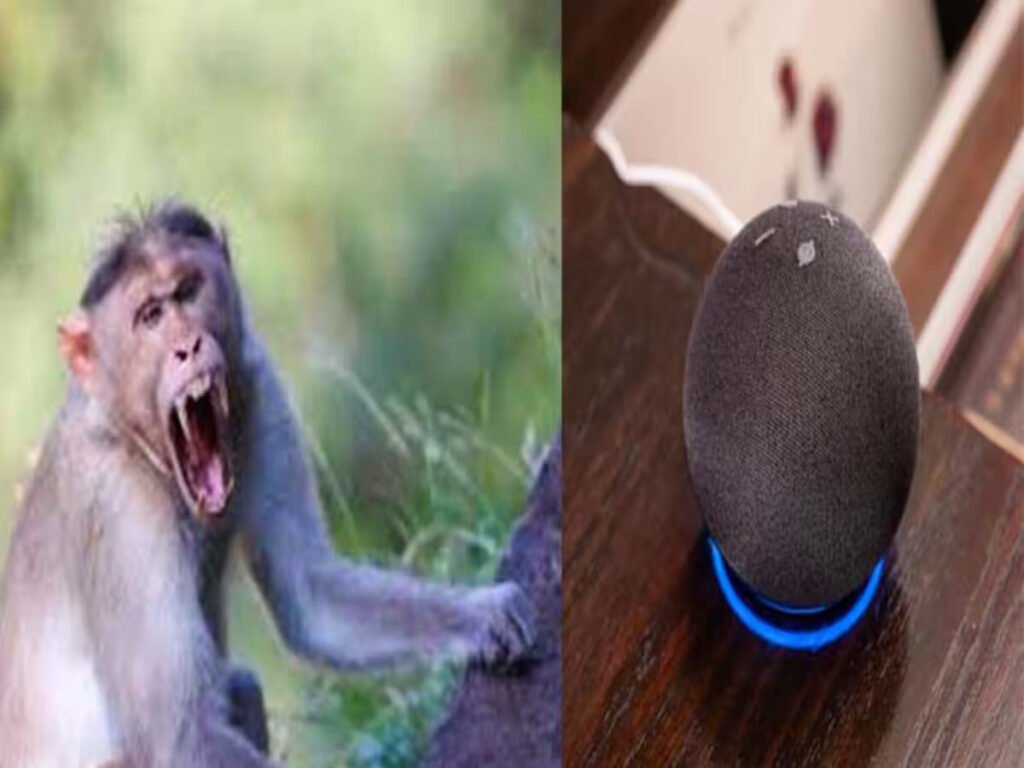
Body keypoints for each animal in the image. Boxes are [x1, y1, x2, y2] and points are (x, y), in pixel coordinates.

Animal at [0, 202, 536, 768]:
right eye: (150, 315)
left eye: (188, 290)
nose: (188, 345)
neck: (131, 435)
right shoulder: (120, 504)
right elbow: (182, 738)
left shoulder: (259, 385)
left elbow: (309, 592)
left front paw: (483, 615)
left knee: (242, 686)